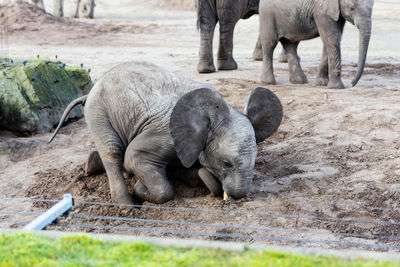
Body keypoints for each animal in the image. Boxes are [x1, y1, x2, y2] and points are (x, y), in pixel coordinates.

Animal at [49, 62, 282, 205]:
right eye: (227, 164)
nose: (236, 197)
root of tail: (89, 92)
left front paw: (202, 176)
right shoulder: (165, 133)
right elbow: (134, 158)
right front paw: (140, 190)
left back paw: (92, 166)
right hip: (99, 111)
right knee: (113, 151)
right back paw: (125, 205)